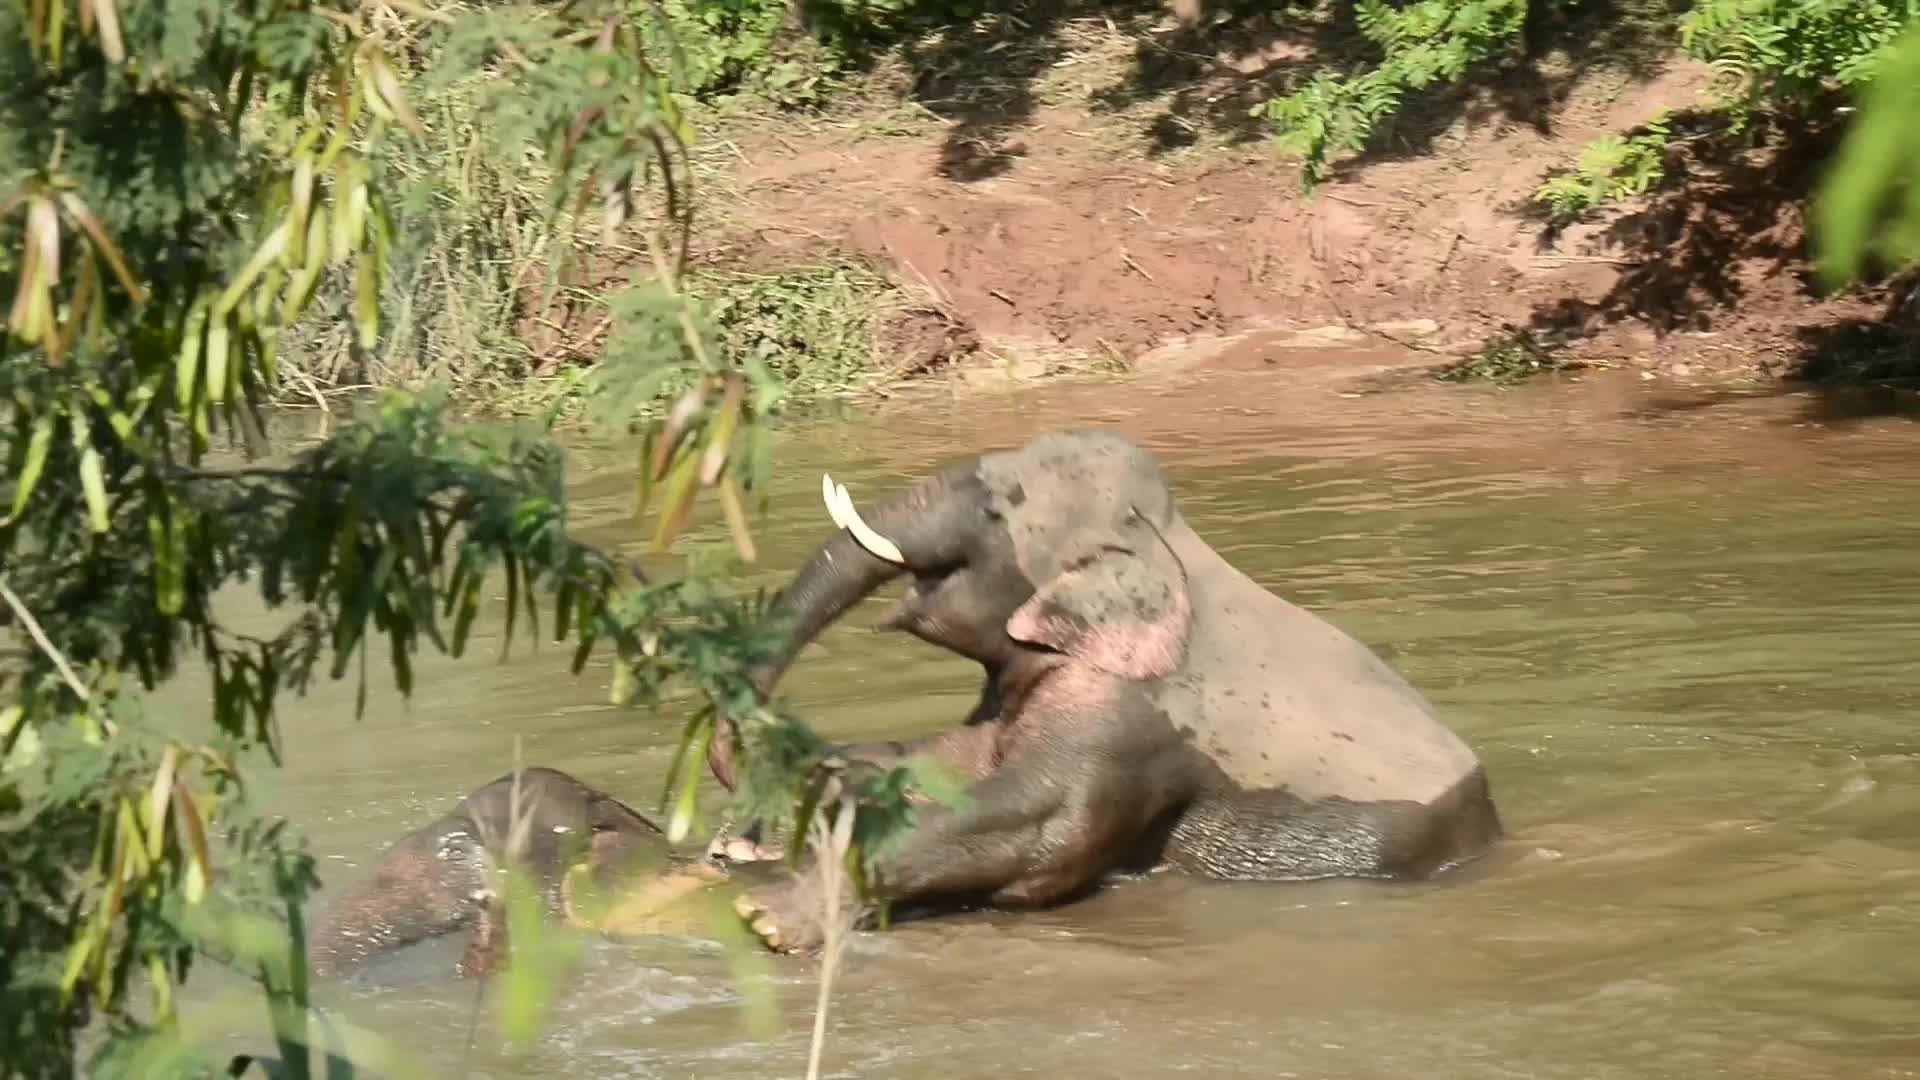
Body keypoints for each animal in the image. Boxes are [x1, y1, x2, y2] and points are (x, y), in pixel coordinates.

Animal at [714, 428, 1505, 949]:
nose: (724, 767)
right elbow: (943, 760)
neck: (1174, 547)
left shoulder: (1135, 718)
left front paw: (770, 918)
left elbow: (1037, 831)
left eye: (998, 509)